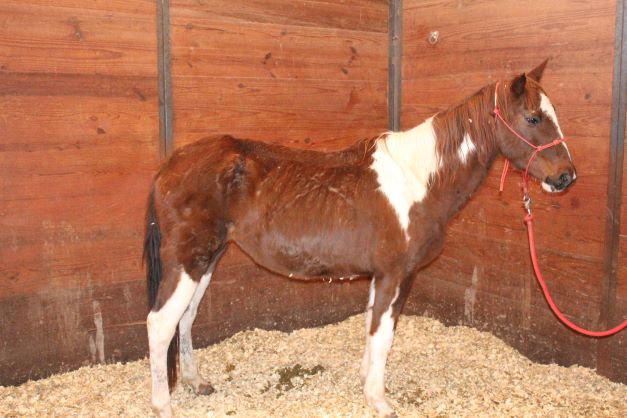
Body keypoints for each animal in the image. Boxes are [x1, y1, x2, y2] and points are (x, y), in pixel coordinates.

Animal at [145, 59, 576, 418]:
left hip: (207, 260)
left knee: (185, 318)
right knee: (160, 322)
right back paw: (163, 406)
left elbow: (371, 330)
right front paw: (379, 401)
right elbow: (383, 335)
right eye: (533, 117)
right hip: (188, 260)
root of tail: (170, 164)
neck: (419, 180)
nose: (565, 177)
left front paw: (365, 384)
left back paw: (196, 382)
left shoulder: (380, 277)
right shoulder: (395, 275)